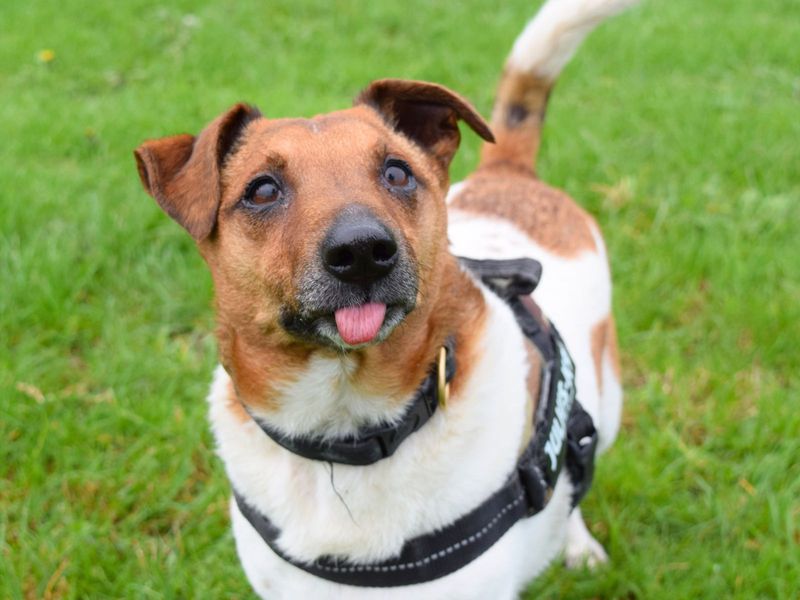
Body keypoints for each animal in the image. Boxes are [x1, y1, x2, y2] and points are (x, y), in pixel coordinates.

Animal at [134, 0, 636, 596]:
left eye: (397, 172)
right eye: (262, 190)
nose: (363, 251)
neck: (343, 433)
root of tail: (508, 172)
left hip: (605, 399)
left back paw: (576, 544)